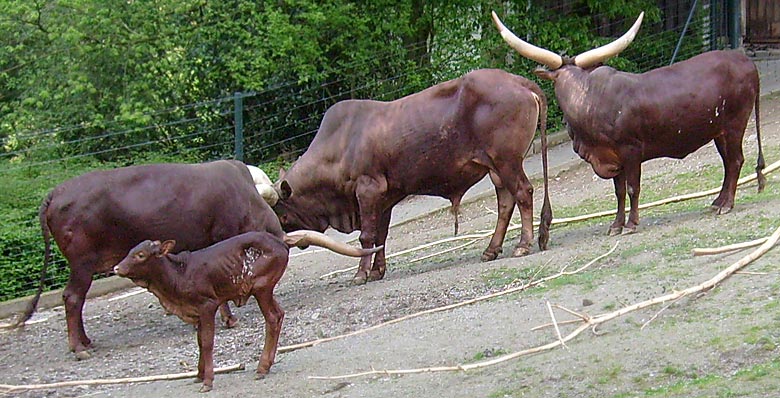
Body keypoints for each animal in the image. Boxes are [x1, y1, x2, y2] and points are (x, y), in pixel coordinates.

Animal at [19, 160, 380, 360]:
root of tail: (55, 193)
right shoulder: (220, 240)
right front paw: (229, 318)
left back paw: (85, 340)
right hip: (81, 263)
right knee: (72, 298)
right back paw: (79, 346)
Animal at [264, 69, 556, 286]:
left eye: (281, 214)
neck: (340, 145)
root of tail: (518, 80)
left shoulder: (368, 189)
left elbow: (367, 236)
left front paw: (360, 274)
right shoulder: (384, 196)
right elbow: (380, 236)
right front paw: (377, 270)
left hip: (507, 162)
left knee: (523, 193)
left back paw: (523, 244)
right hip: (496, 168)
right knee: (505, 203)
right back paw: (491, 250)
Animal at [490, 11, 764, 236]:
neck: (590, 99)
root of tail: (747, 63)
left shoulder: (631, 150)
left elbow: (632, 188)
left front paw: (631, 224)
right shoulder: (613, 158)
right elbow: (619, 191)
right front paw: (616, 225)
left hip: (735, 125)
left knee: (735, 161)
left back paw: (726, 204)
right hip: (719, 131)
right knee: (728, 163)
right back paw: (718, 202)